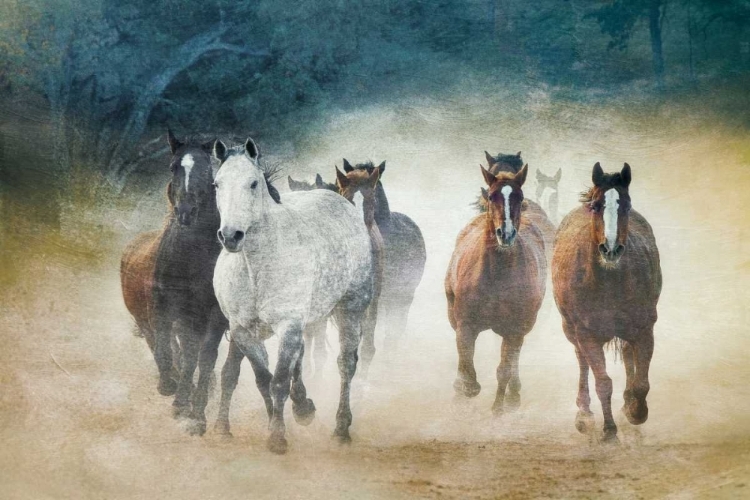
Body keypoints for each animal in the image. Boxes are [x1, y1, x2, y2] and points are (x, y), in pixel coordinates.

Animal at [118, 130, 226, 438]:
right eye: (173, 166)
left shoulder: (210, 317)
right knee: (159, 343)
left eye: (207, 170)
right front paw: (172, 391)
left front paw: (195, 413)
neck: (190, 258)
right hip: (145, 316)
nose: (186, 211)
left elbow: (201, 357)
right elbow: (166, 349)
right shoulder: (163, 312)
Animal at [212, 137, 376, 454]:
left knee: (346, 364)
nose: (230, 236)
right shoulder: (242, 330)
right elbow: (264, 378)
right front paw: (280, 422)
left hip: (349, 310)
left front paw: (277, 437)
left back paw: (341, 428)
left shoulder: (288, 325)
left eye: (253, 183)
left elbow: (278, 381)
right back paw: (303, 408)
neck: (256, 268)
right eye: (217, 183)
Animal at [446, 164, 548, 414]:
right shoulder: (465, 323)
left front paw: (498, 409)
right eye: (492, 196)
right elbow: (465, 360)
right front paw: (465, 390)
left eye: (519, 196)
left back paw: (513, 395)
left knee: (513, 361)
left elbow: (504, 369)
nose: (506, 233)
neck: (496, 276)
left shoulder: (514, 329)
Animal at [552, 163, 664, 442]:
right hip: (571, 329)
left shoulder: (644, 329)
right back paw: (584, 415)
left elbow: (641, 383)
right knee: (582, 361)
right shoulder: (587, 334)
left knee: (626, 354)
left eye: (626, 204)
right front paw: (609, 429)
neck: (608, 282)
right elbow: (603, 382)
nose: (610, 249)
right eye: (596, 206)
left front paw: (635, 411)